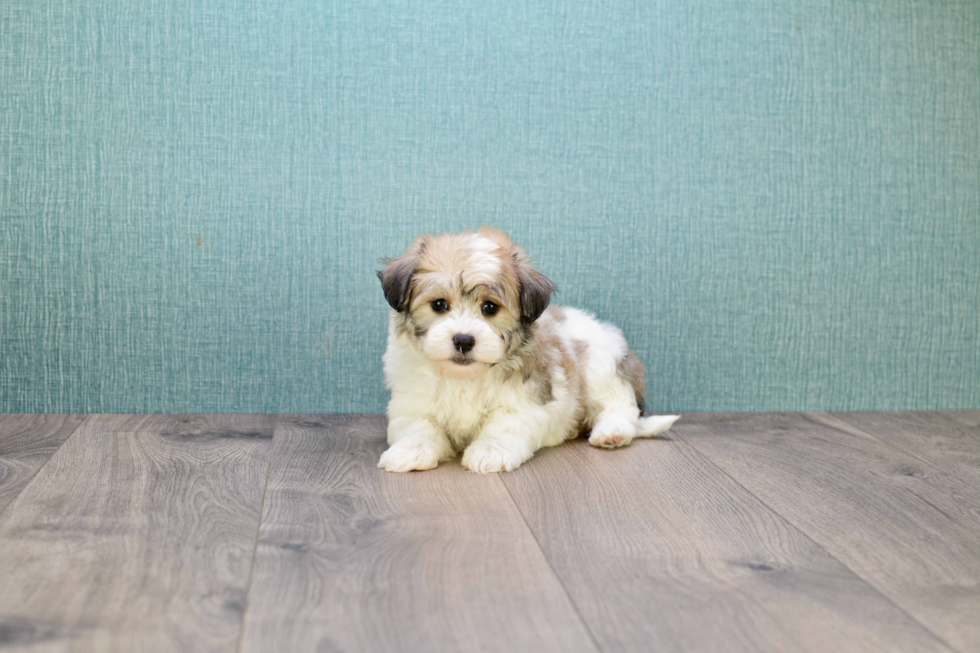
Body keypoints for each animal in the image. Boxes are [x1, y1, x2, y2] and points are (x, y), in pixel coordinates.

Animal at [378, 229, 680, 474]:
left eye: (490, 308)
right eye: (439, 304)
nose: (463, 340)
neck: (465, 377)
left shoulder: (524, 402)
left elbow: (504, 425)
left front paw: (490, 452)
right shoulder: (411, 403)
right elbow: (418, 426)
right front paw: (409, 452)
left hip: (600, 364)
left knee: (619, 405)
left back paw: (611, 432)